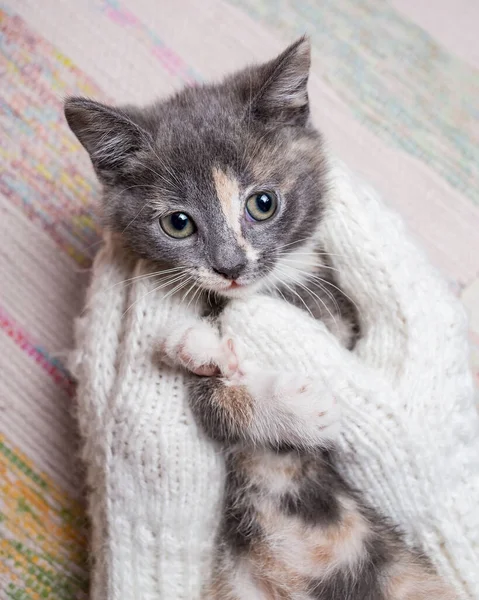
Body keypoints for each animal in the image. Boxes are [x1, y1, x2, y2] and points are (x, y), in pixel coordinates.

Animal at [65, 38, 456, 600]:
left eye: (263, 204)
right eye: (178, 223)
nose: (230, 266)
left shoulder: (337, 314)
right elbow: (207, 402)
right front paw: (225, 365)